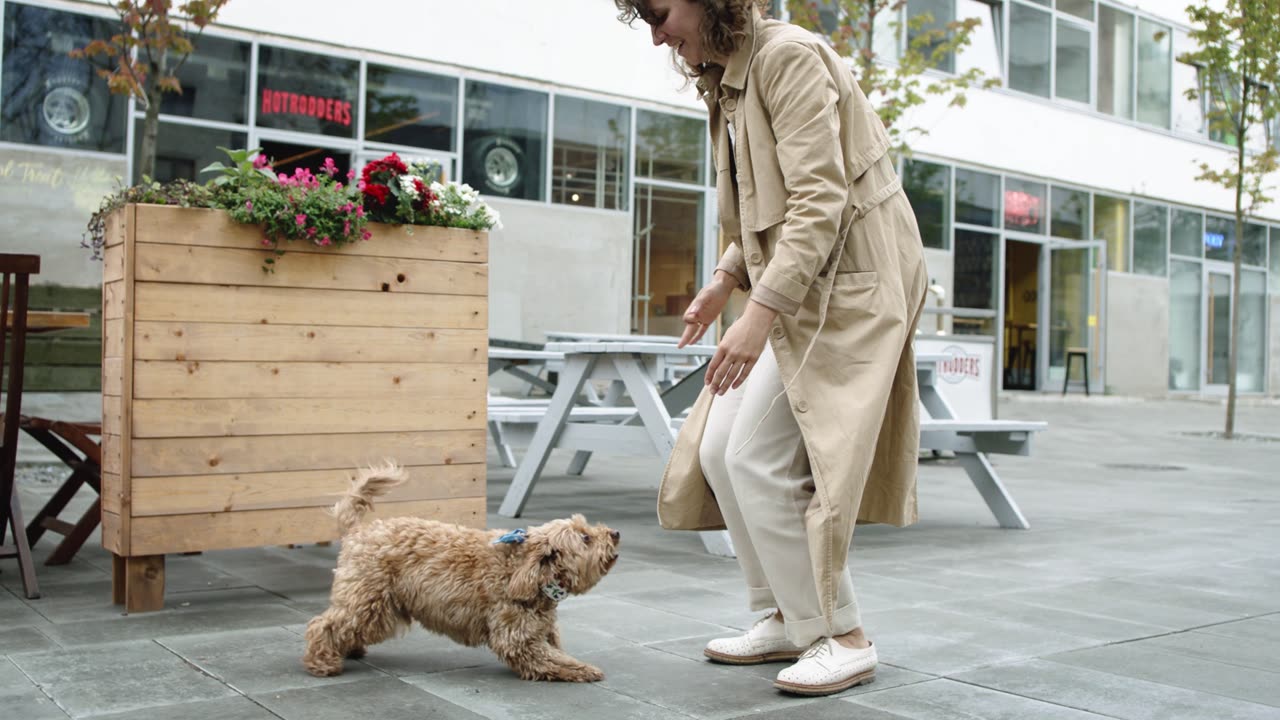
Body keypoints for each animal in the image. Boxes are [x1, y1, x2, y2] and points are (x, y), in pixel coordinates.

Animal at [300, 466, 619, 676]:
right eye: (585, 537)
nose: (615, 533)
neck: (524, 571)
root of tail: (359, 531)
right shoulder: (516, 637)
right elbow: (552, 659)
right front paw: (585, 669)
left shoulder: (540, 628)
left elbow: (555, 648)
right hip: (368, 600)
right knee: (323, 624)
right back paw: (323, 662)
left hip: (377, 606)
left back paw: (349, 649)